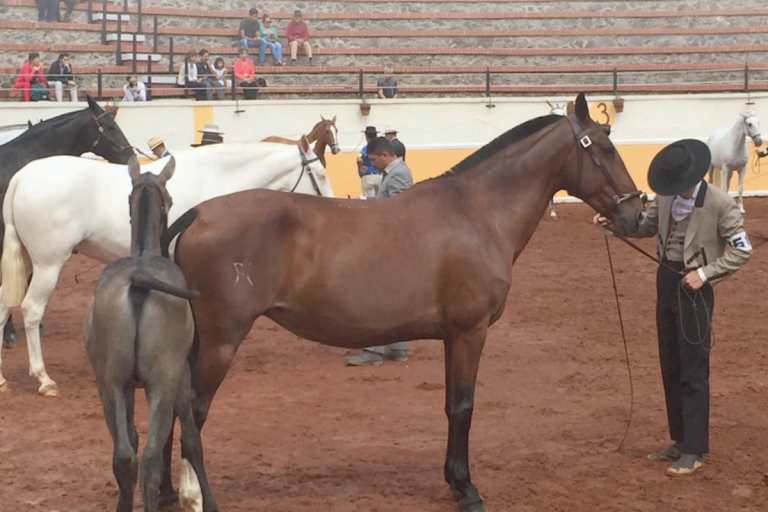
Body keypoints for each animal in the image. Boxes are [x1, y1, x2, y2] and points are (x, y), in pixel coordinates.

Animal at [0, 137, 332, 396]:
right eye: (318, 172)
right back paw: (44, 379)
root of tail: (21, 177)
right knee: (31, 310)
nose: (333, 201)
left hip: (26, 260)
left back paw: (3, 380)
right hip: (48, 264)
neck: (215, 180)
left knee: (4, 305)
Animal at [84, 156, 216, 512]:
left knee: (125, 457)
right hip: (162, 384)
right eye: (169, 199)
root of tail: (139, 281)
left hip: (110, 385)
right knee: (151, 459)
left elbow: (130, 438)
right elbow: (191, 440)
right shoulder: (181, 378)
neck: (143, 254)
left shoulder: (126, 387)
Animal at [160, 93, 644, 512]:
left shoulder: (453, 336)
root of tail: (198, 214)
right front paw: (467, 490)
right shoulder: (470, 332)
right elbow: (464, 407)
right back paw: (199, 497)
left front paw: (453, 480)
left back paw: (166, 491)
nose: (636, 214)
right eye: (605, 148)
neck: (478, 213)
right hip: (222, 341)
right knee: (195, 413)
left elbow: (451, 405)